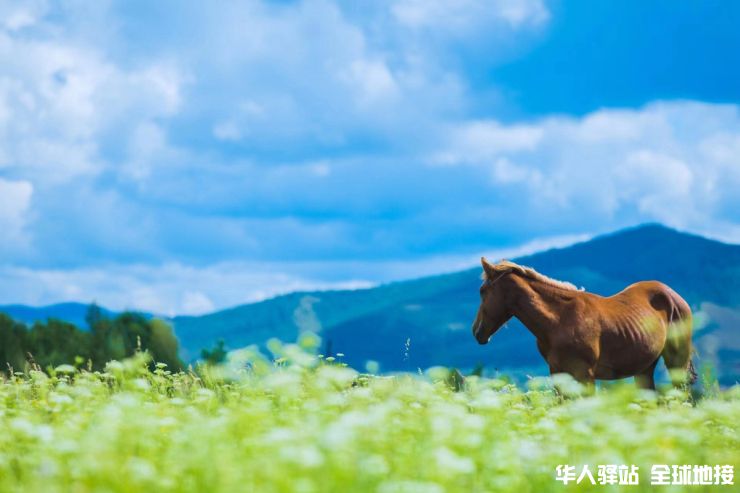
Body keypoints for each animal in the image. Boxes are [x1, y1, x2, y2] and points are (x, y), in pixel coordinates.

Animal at [472, 258, 696, 388]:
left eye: (482, 291)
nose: (476, 331)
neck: (559, 321)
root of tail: (674, 296)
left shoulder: (584, 375)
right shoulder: (558, 374)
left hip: (676, 362)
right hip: (644, 369)